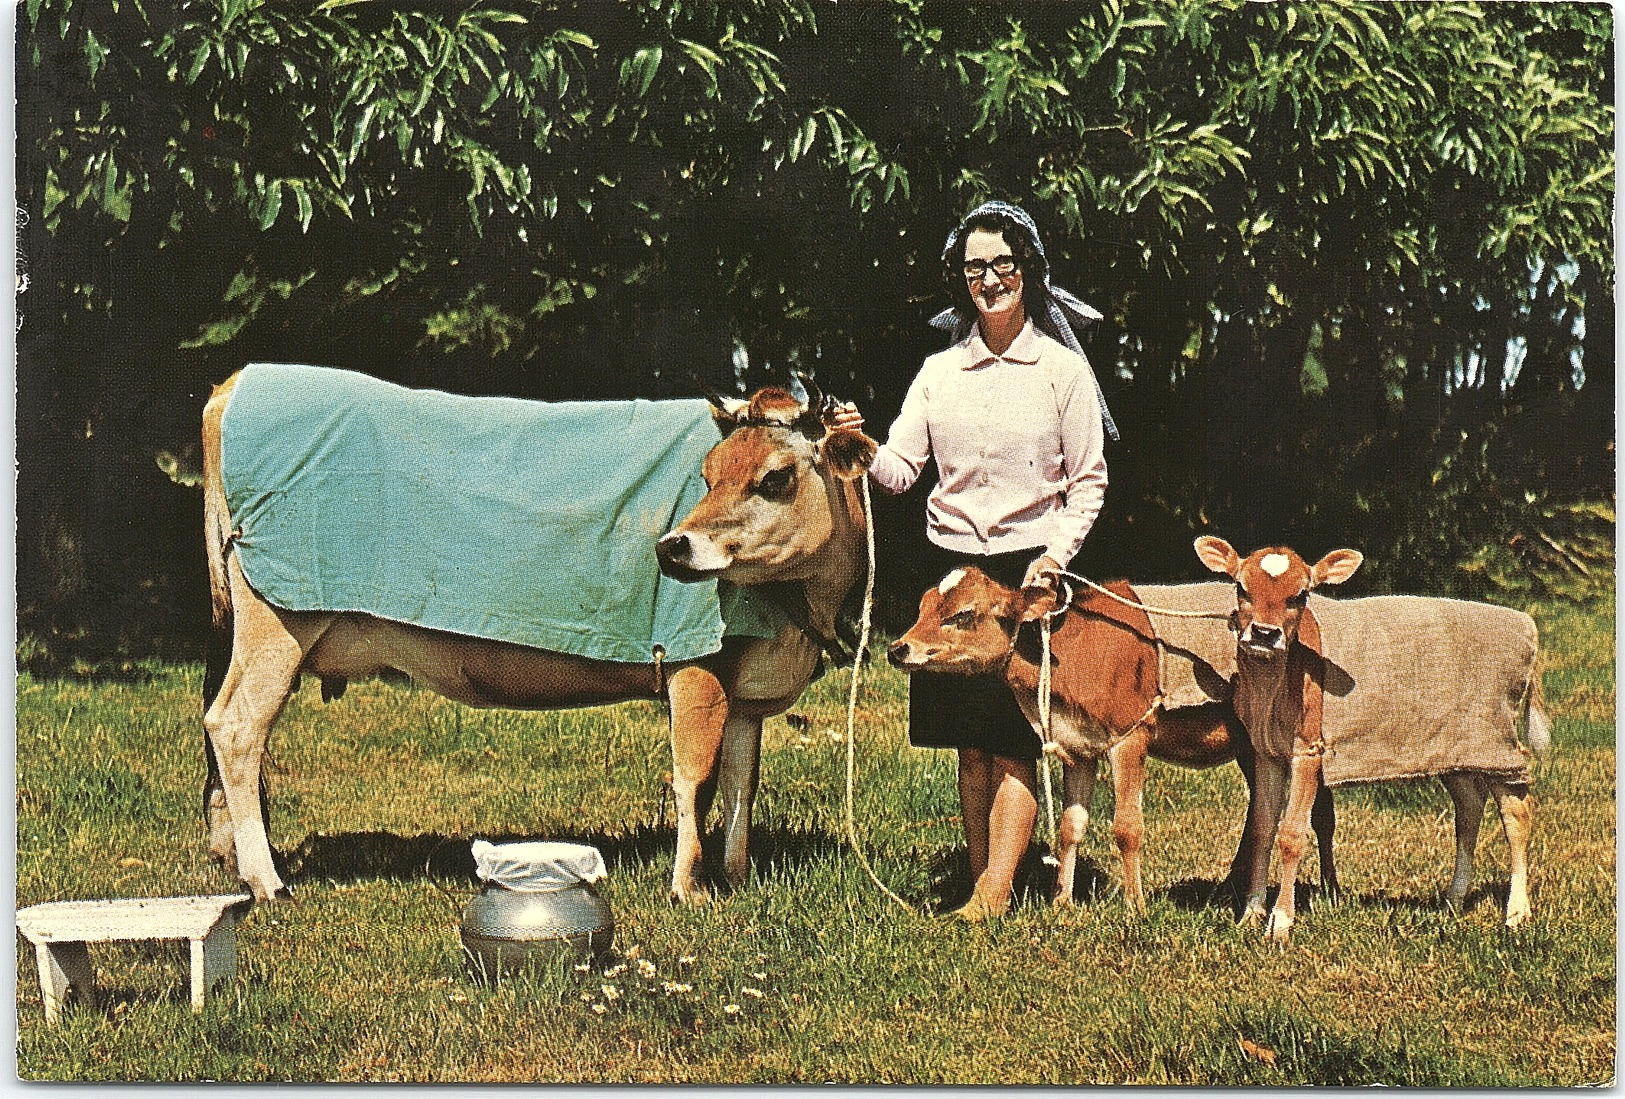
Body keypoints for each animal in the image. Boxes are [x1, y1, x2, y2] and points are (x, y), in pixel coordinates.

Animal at [890, 565, 1332, 910]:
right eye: (922, 606)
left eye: (964, 614)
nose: (898, 647)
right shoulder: (1078, 747)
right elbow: (1070, 827)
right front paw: (1062, 904)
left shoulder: (1130, 735)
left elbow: (1127, 828)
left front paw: (1135, 906)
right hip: (1253, 745)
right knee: (1264, 811)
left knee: (1318, 812)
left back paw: (1329, 892)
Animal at [1131, 588, 1534, 786]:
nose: (1263, 633)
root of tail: (1524, 622)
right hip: (1454, 751)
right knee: (1470, 804)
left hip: (1493, 744)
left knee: (1515, 803)